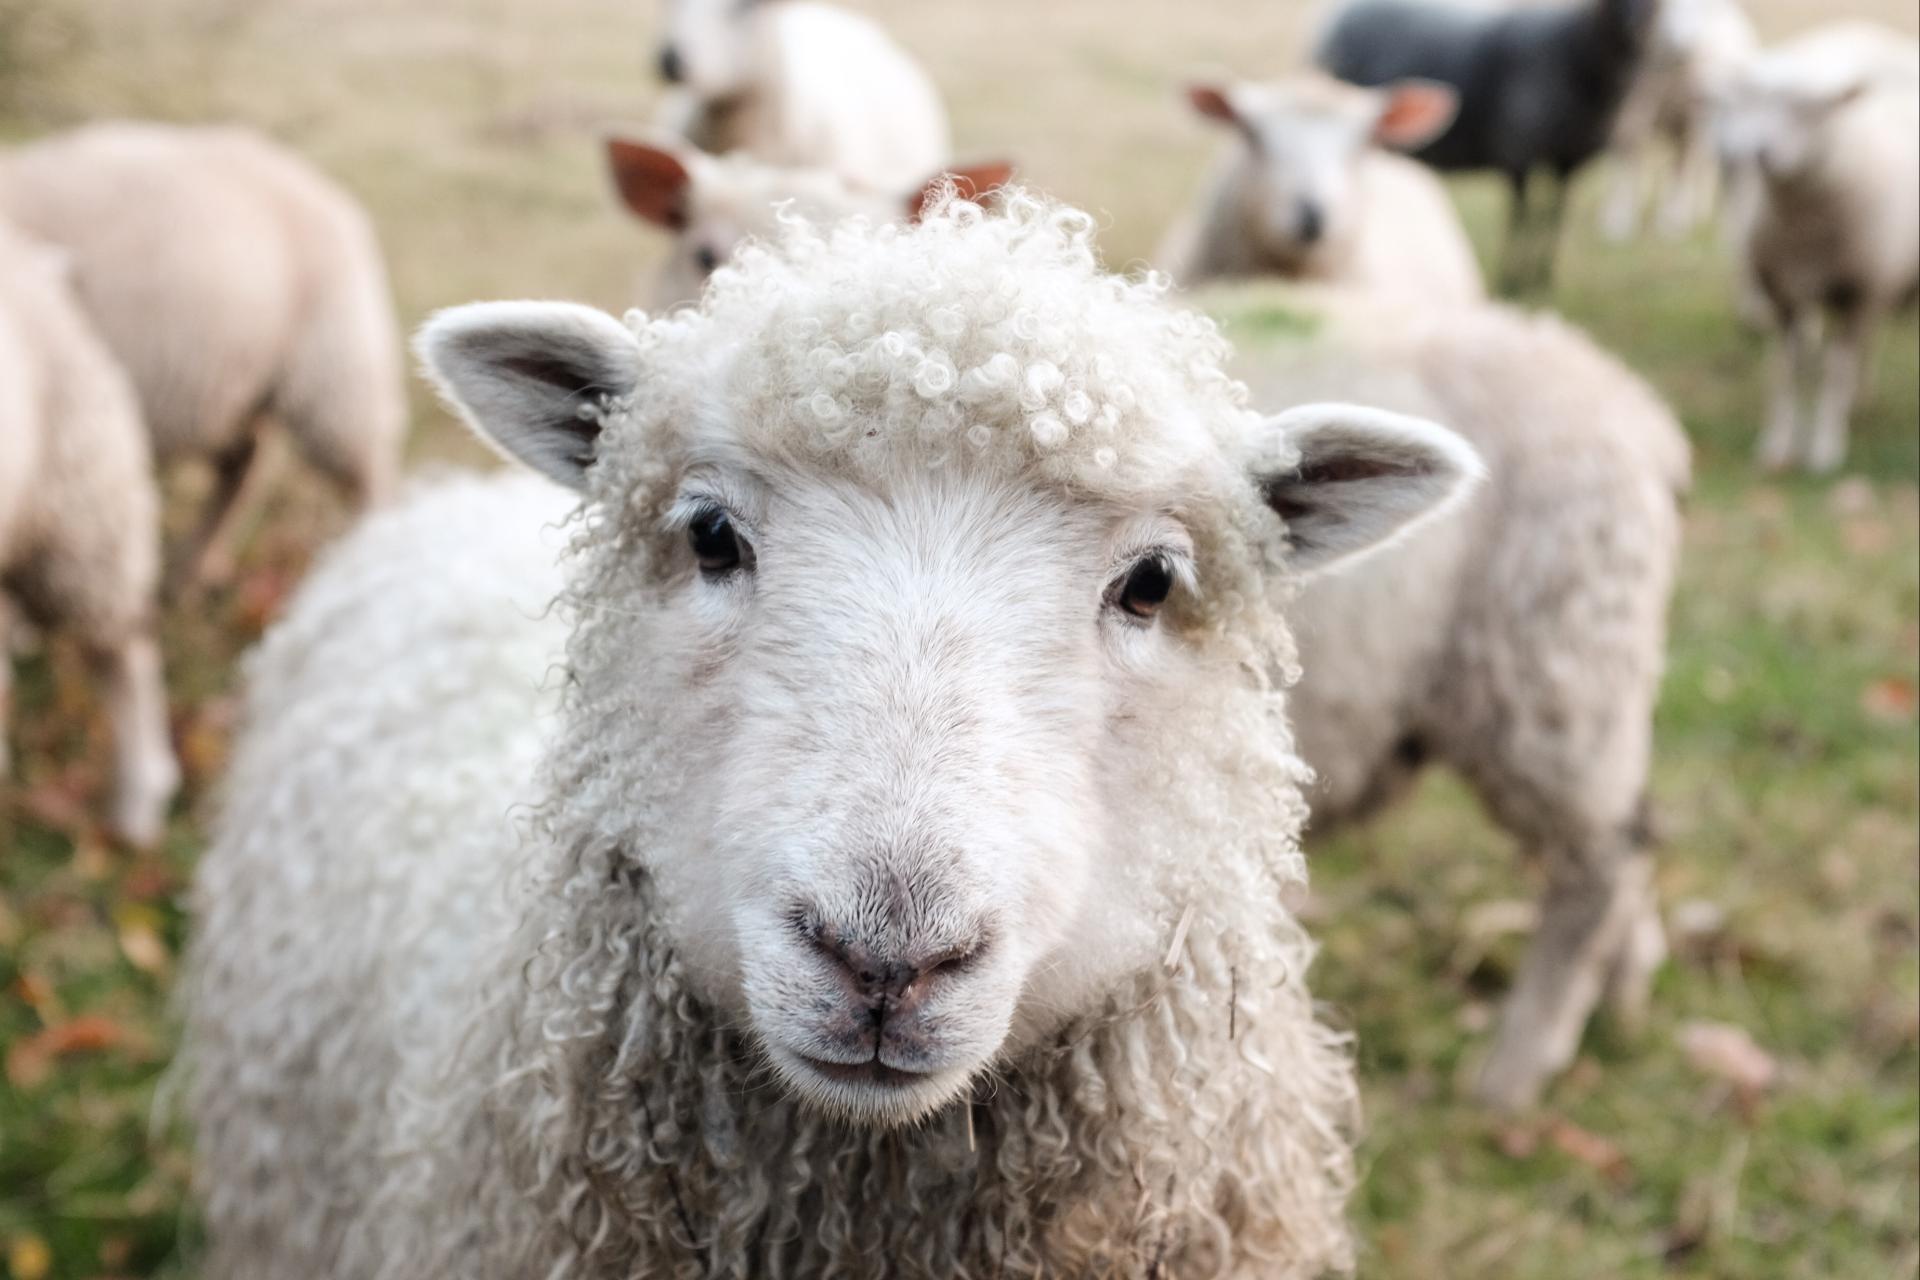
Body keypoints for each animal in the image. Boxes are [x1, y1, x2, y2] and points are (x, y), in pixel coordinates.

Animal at [0, 122, 406, 592]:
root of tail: (325, 190)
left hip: (335, 373)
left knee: (368, 471)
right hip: (235, 385)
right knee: (243, 465)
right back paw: (195, 567)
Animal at [1315, 0, 1656, 293]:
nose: (1636, 24)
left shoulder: (1568, 160)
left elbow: (1553, 216)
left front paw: (1542, 276)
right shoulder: (1518, 152)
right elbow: (1522, 217)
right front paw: (1513, 278)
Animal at [1598, 0, 1758, 242]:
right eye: (1663, 6)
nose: (1682, 41)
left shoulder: (1696, 121)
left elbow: (1685, 167)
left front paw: (1674, 223)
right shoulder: (1634, 106)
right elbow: (1629, 158)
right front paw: (1618, 223)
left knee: (1699, 164)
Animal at [1714, 22, 1919, 472]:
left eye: (1813, 109)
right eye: (1756, 100)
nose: (1761, 153)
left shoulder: (1856, 292)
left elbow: (1834, 373)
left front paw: (1825, 448)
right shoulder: (1782, 293)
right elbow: (1786, 371)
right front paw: (1778, 445)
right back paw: (1860, 400)